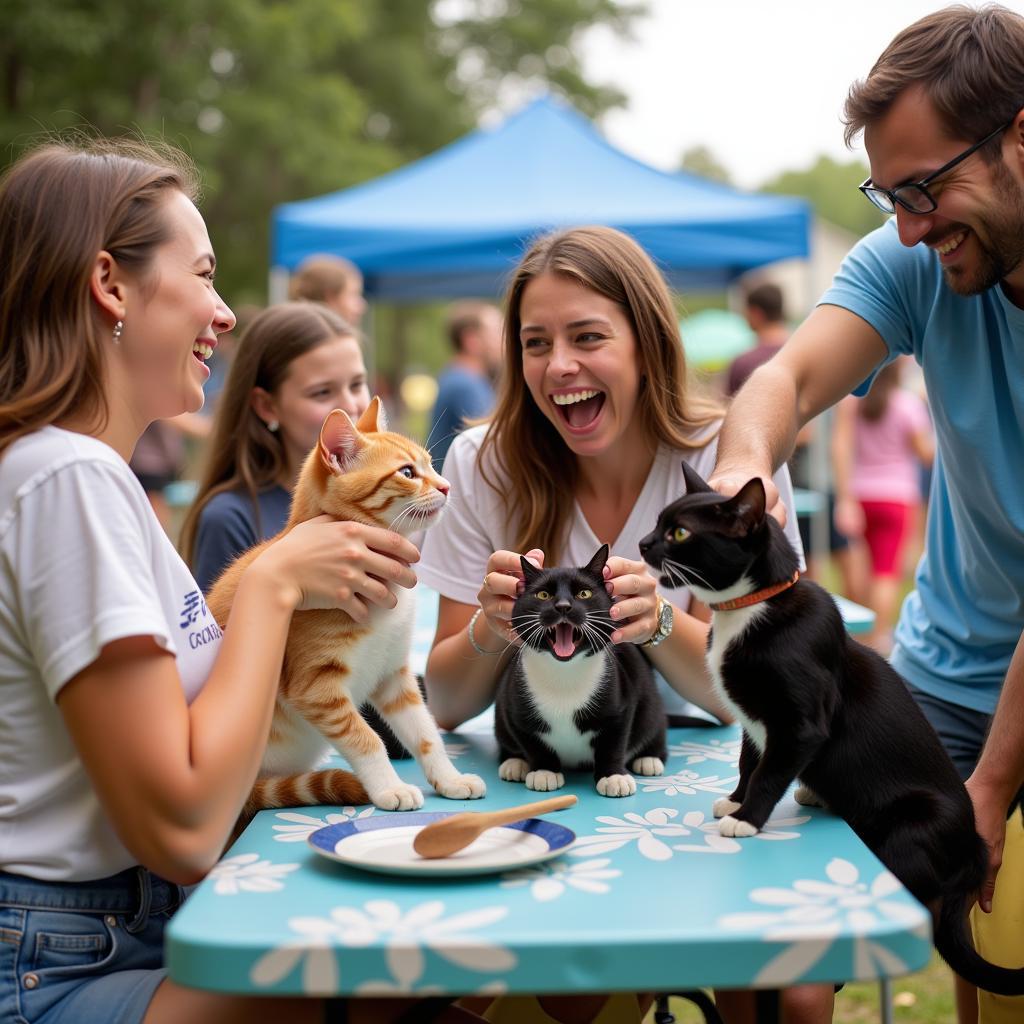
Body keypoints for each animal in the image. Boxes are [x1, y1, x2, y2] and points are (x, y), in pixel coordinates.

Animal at [205, 397, 485, 815]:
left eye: (432, 465)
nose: (446, 486)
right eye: (407, 472)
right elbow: (366, 738)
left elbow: (425, 732)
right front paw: (389, 788)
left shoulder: (394, 675)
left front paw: (449, 779)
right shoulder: (316, 688)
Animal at [491, 544, 667, 798]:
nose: (563, 606)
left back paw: (649, 759)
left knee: (654, 722)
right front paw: (544, 771)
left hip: (650, 701)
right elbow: (532, 742)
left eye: (584, 594)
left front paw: (613, 776)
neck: (564, 673)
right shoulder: (515, 706)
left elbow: (614, 742)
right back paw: (515, 763)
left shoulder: (620, 705)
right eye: (543, 595)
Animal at [638, 462, 1024, 991]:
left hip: (913, 825)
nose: (642, 543)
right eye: (659, 522)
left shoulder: (800, 725)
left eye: (679, 533)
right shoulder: (753, 720)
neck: (750, 609)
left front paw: (746, 819)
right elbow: (748, 762)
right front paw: (735, 800)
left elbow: (770, 773)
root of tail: (974, 850)